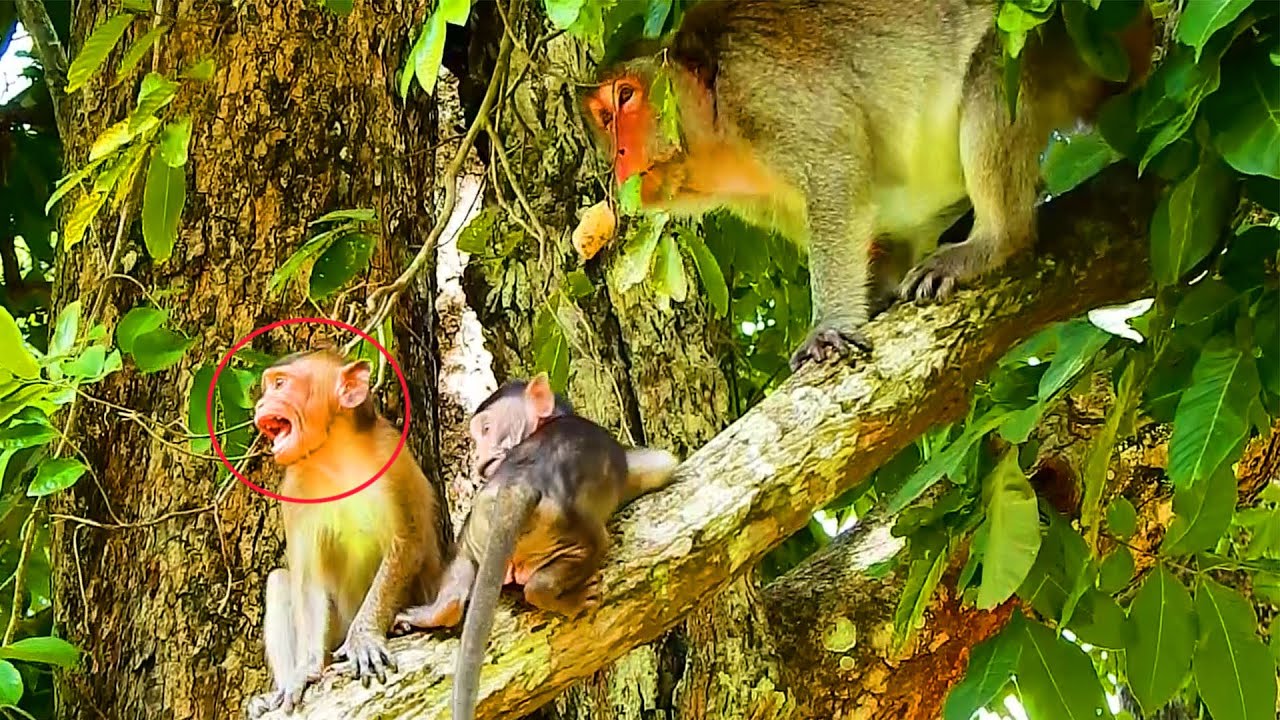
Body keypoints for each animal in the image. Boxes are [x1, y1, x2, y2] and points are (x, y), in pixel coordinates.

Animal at [245, 349, 445, 718]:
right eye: (268, 388)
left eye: (280, 384)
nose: (261, 404)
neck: (335, 455)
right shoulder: (294, 488)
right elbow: (307, 581)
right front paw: (304, 671)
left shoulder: (391, 456)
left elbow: (407, 542)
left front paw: (364, 638)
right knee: (280, 581)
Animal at [392, 373, 680, 720]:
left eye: (485, 429)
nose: (480, 459)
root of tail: (519, 485)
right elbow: (662, 463)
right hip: (562, 526)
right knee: (590, 547)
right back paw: (558, 595)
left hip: (480, 524)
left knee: (461, 564)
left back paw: (436, 612)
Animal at [583, 0, 1154, 371]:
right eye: (603, 118)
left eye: (627, 98)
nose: (619, 157)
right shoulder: (762, 199)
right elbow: (882, 233)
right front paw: (873, 294)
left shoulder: (763, 89)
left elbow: (836, 175)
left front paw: (828, 325)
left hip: (1055, 36)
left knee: (995, 69)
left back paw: (995, 240)